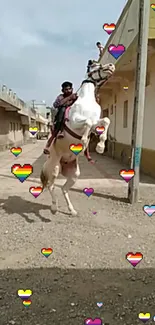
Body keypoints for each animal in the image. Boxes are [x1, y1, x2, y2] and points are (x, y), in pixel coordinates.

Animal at [40, 62, 115, 216]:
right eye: (94, 65)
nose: (111, 66)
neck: (87, 101)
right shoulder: (75, 122)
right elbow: (88, 122)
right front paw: (85, 141)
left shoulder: (96, 123)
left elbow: (105, 120)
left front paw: (100, 147)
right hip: (54, 168)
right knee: (51, 186)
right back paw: (54, 208)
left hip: (74, 175)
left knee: (63, 189)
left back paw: (72, 210)